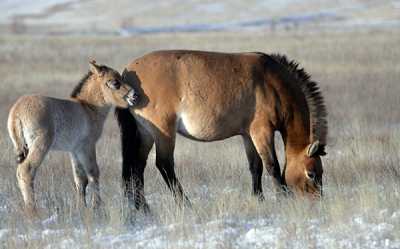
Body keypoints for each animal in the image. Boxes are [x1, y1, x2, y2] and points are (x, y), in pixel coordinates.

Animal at [7, 60, 138, 214]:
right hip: (40, 146)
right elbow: (93, 173)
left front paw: (82, 206)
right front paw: (97, 206)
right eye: (115, 82)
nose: (134, 96)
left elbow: (80, 179)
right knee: (26, 171)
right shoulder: (86, 147)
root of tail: (16, 112)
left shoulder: (74, 151)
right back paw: (32, 210)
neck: (88, 108)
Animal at [114, 50, 326, 210]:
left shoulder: (247, 134)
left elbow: (255, 166)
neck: (272, 84)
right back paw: (185, 204)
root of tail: (127, 75)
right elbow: (272, 165)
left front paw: (258, 199)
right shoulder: (262, 131)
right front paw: (283, 198)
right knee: (164, 165)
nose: (317, 202)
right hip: (163, 132)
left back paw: (143, 207)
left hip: (146, 134)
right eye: (311, 173)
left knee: (137, 166)